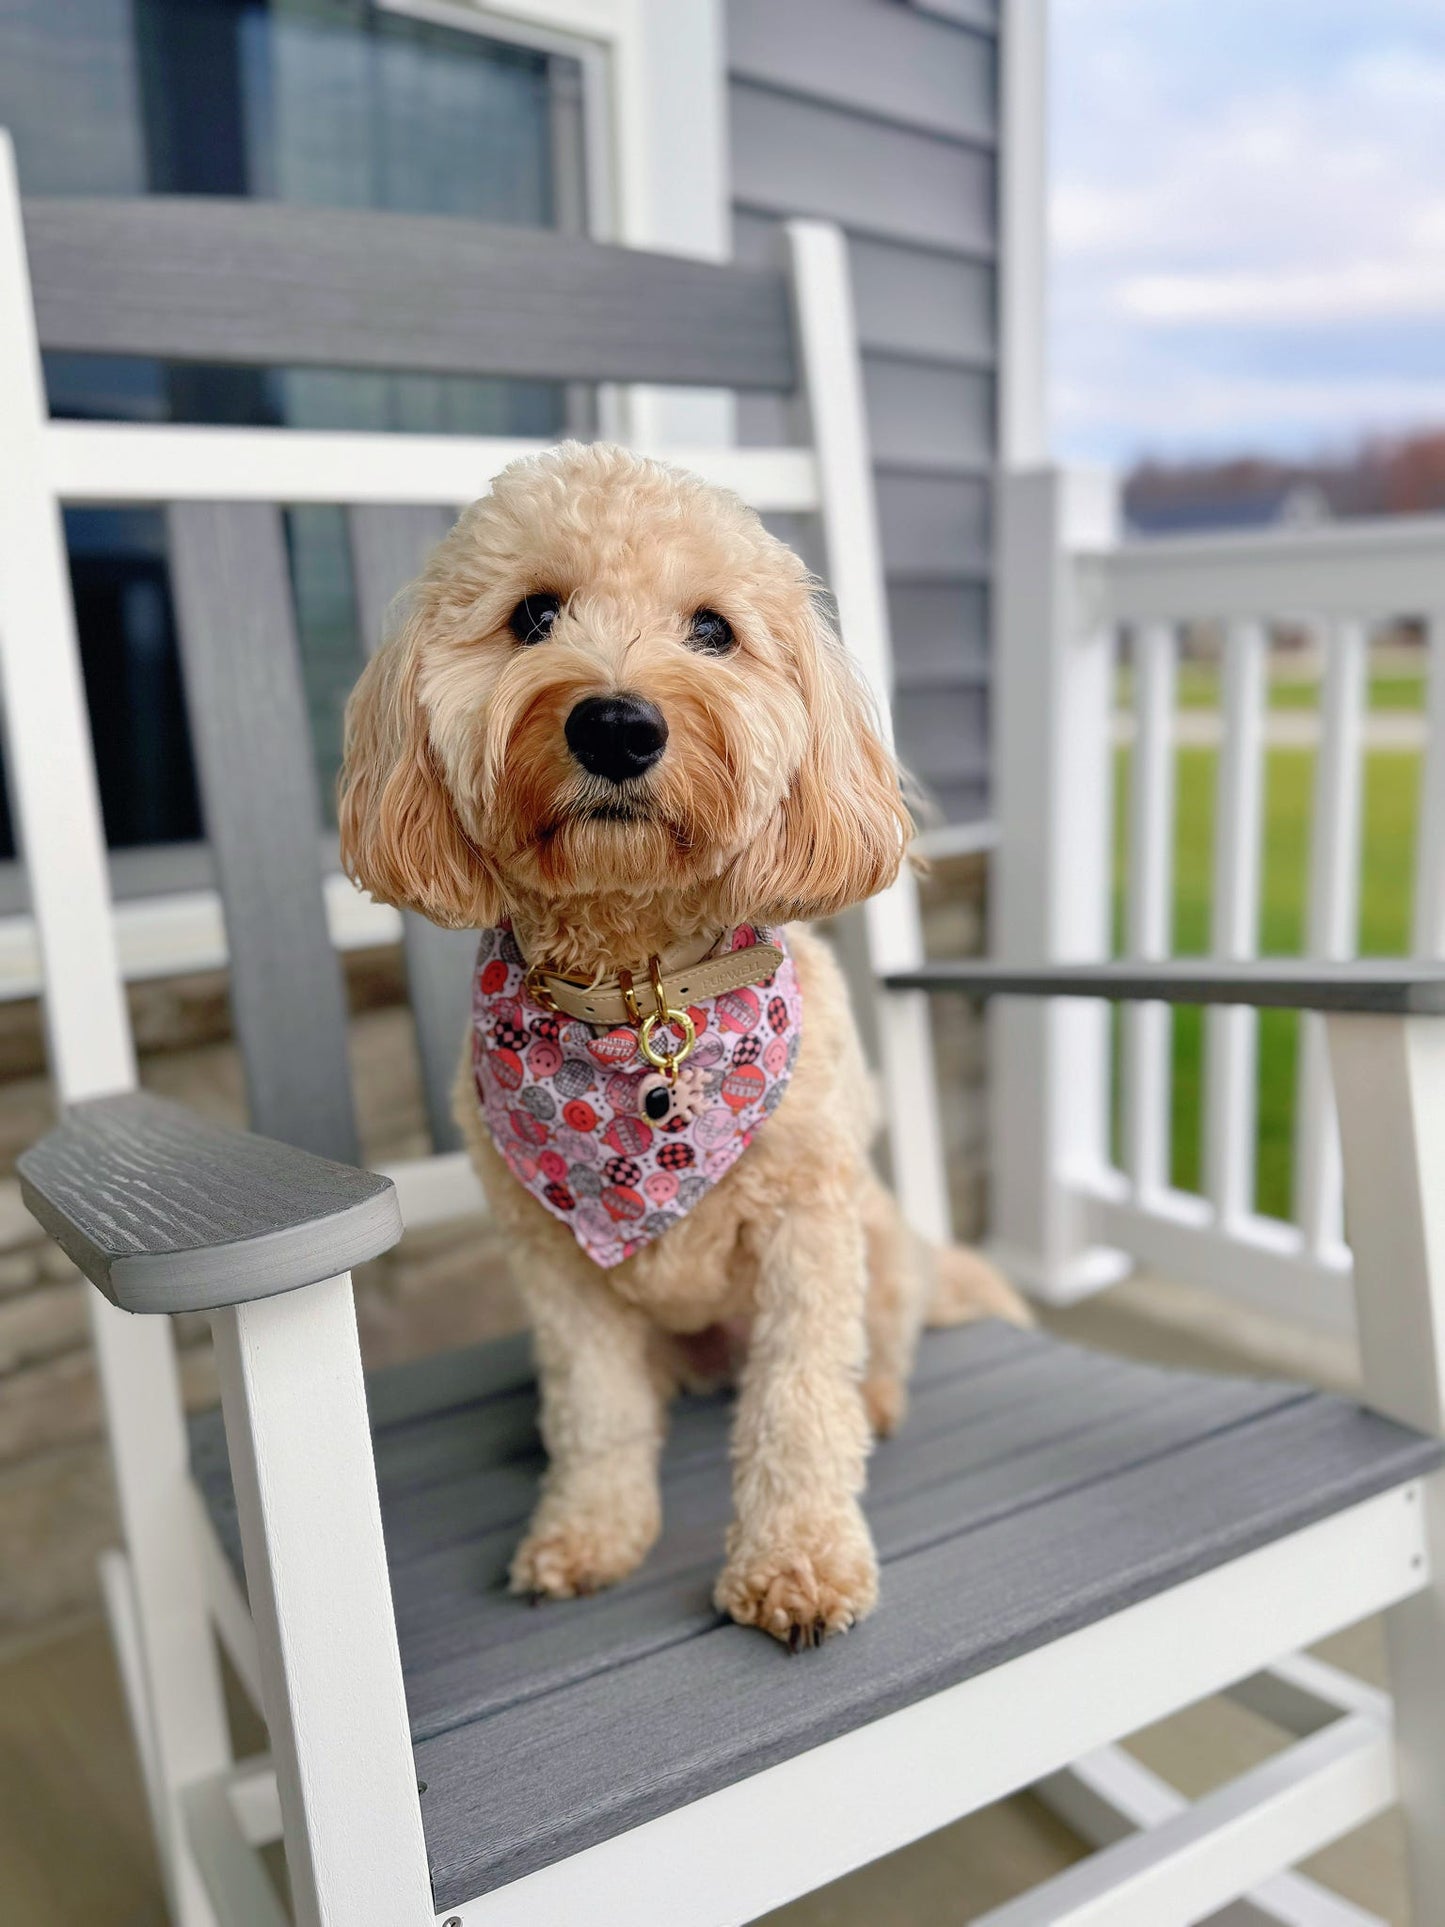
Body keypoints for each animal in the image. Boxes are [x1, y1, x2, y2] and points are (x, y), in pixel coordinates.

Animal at [339, 443, 1032, 1649]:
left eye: (712, 629)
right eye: (533, 615)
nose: (616, 725)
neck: (638, 991)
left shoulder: (807, 1231)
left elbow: (798, 1403)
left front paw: (797, 1561)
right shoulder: (556, 1262)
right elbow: (597, 1411)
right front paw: (585, 1534)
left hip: (877, 1239)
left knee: (873, 1346)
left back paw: (877, 1398)